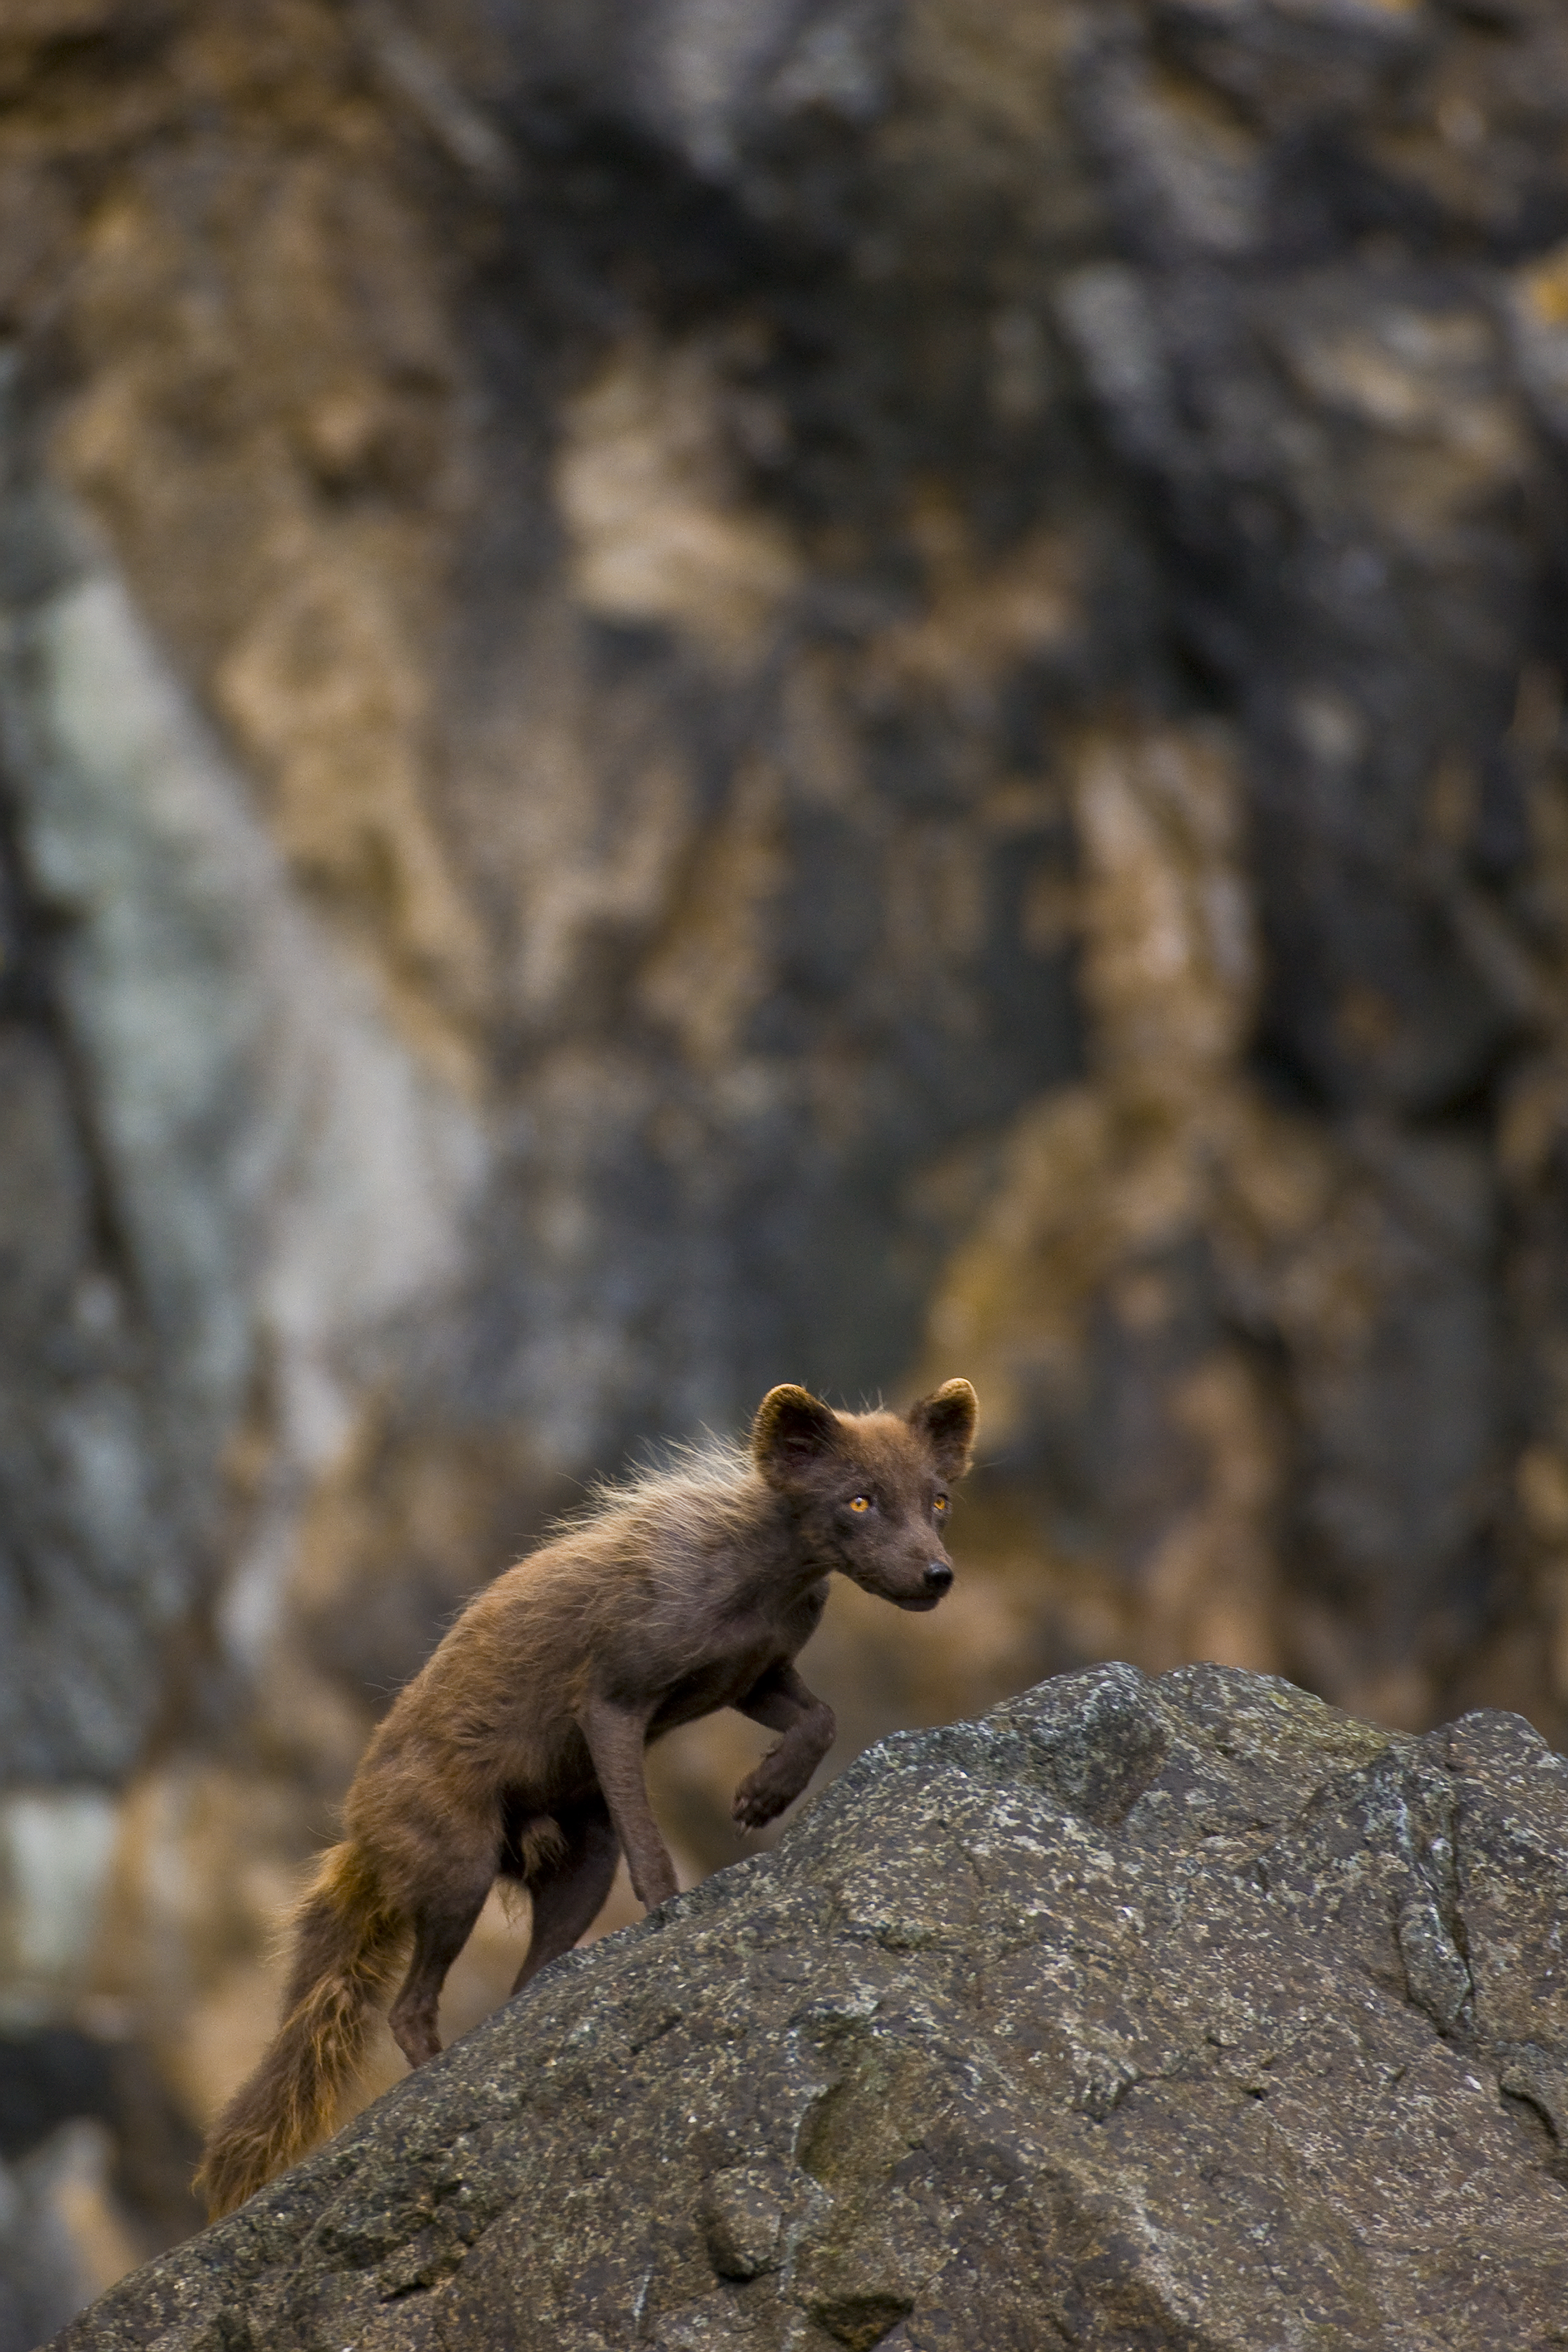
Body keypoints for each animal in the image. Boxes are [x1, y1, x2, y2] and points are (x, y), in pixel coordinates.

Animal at [196, 1373, 973, 2211]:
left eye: (937, 1501)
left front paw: (765, 1795)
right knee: (410, 2010)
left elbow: (822, 1722)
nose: (937, 1576)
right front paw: (675, 1907)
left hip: (578, 1878)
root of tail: (354, 1840)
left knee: (521, 1987)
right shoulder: (614, 1702)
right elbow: (652, 1842)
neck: (754, 1581)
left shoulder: (752, 1676)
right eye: (860, 1501)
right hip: (463, 1875)